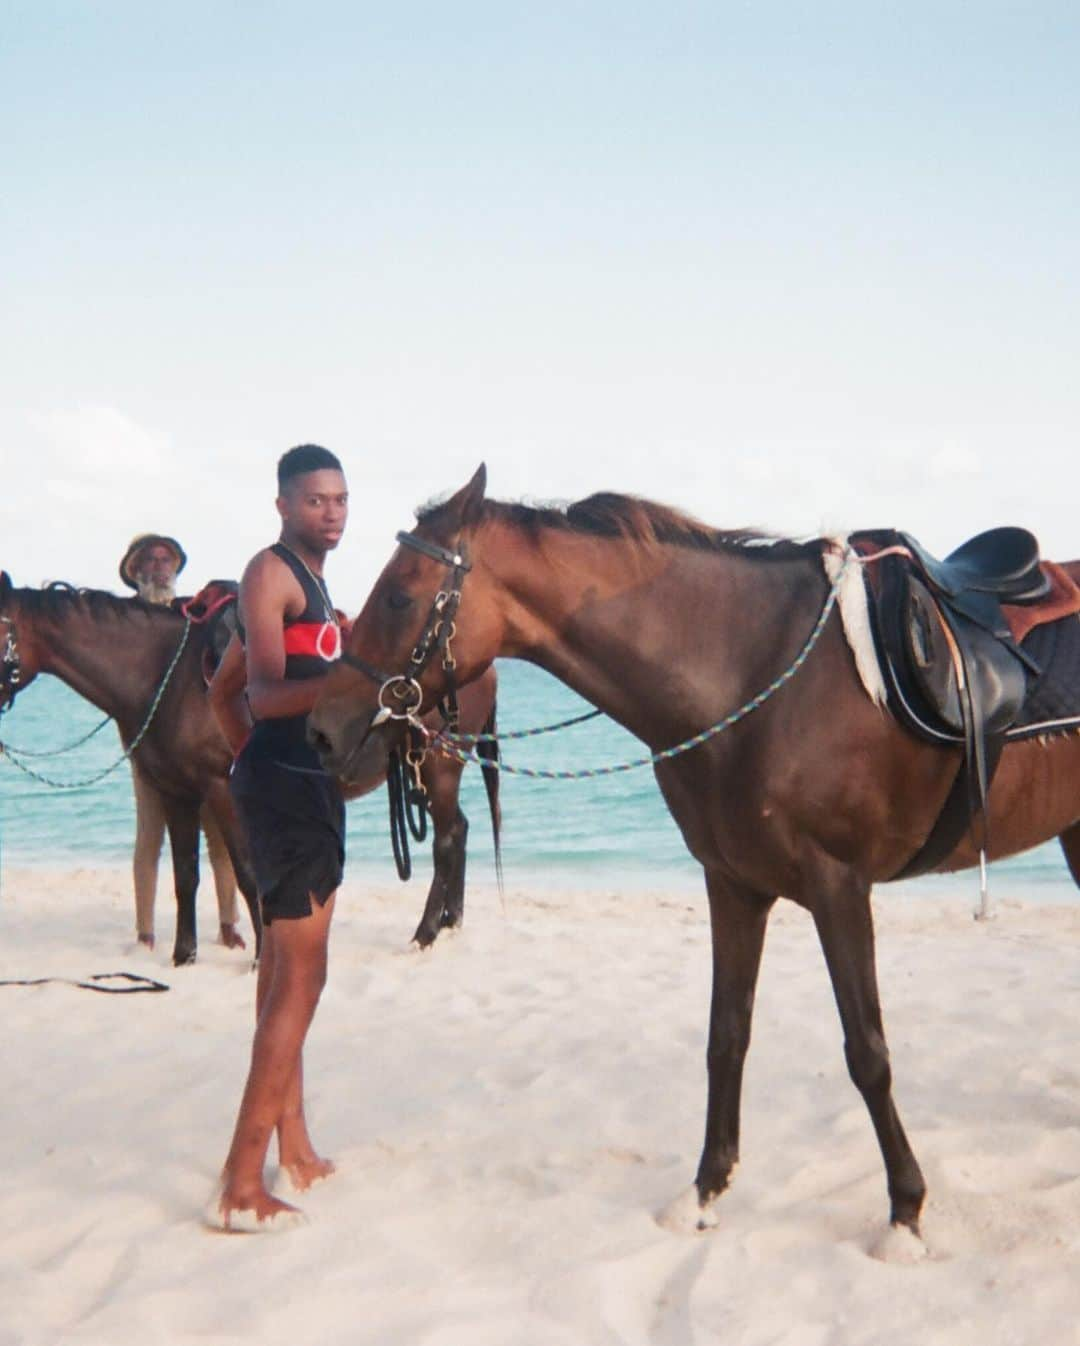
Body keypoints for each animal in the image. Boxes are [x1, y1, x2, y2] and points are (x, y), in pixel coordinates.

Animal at [0, 573, 495, 963]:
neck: (166, 676)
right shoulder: (178, 792)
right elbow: (186, 874)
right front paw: (184, 954)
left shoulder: (221, 788)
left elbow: (245, 873)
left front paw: (259, 955)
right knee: (460, 829)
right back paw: (450, 921)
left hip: (438, 767)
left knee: (446, 840)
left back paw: (426, 932)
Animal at [305, 463, 1077, 1238]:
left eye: (400, 594)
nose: (320, 730)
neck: (751, 675)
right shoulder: (732, 885)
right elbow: (725, 1037)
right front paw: (708, 1188)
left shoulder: (838, 887)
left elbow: (867, 1051)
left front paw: (906, 1207)